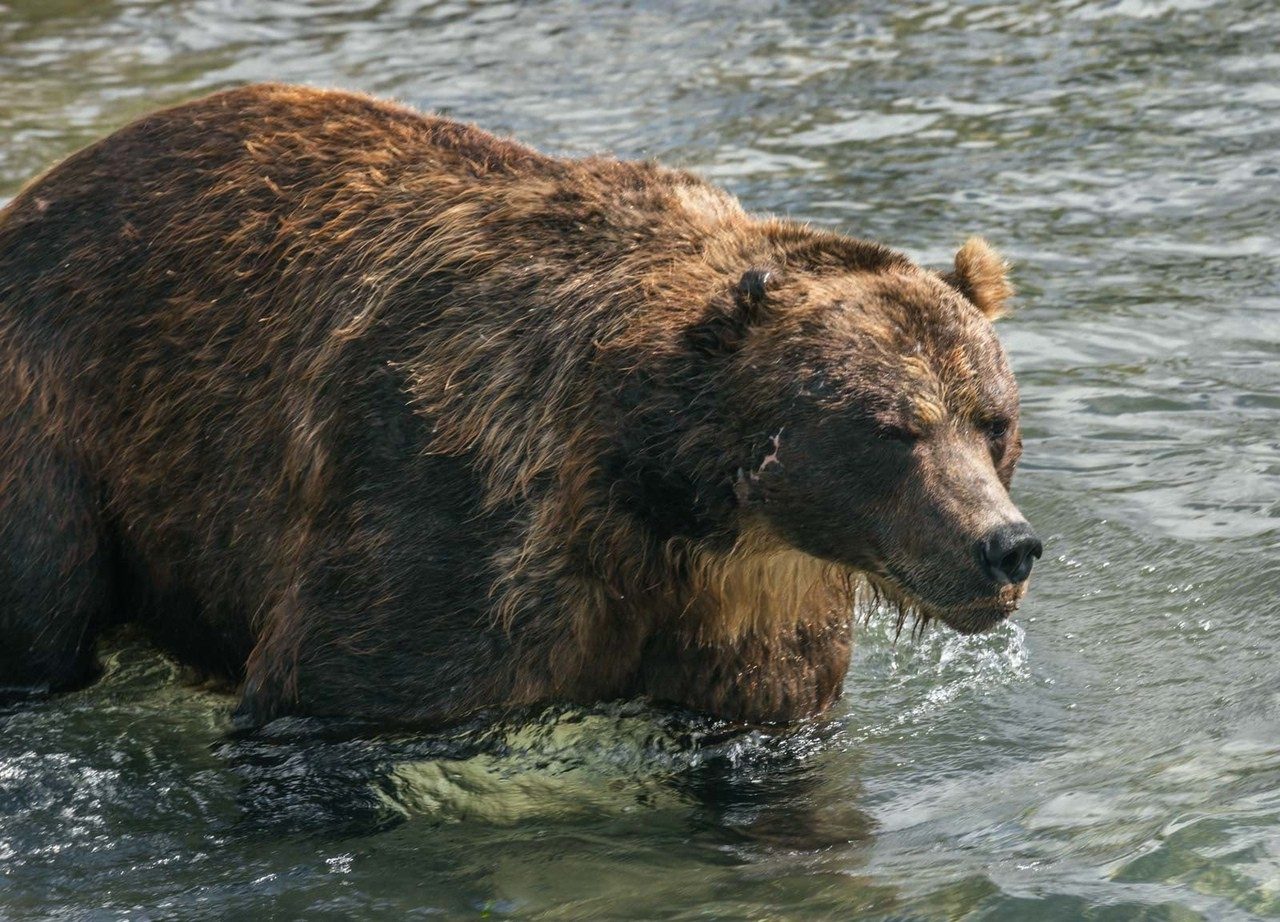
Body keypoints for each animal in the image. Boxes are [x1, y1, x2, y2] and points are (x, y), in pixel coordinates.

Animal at [0, 84, 1039, 727]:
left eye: (993, 422)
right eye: (893, 428)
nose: (1004, 544)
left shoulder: (751, 618)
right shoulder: (447, 519)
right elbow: (337, 686)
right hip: (54, 417)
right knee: (42, 604)